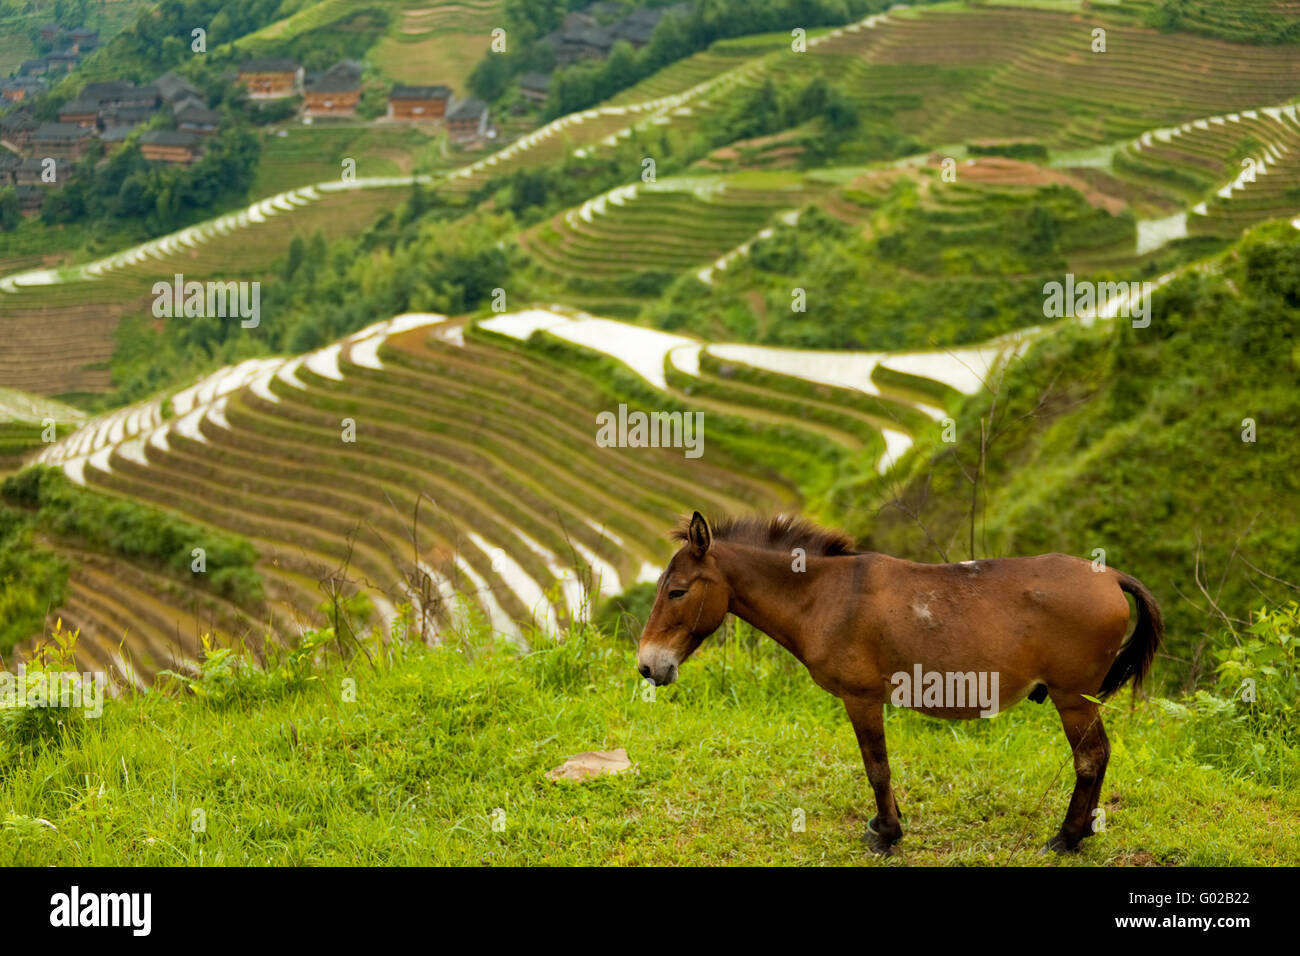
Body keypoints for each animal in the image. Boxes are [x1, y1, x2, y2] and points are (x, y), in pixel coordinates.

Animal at [634, 512, 1164, 858]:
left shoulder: (861, 698)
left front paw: (887, 833)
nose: (646, 666)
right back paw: (1084, 832)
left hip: (1072, 698)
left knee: (1090, 758)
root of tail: (1109, 576)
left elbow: (877, 768)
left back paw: (1067, 837)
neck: (824, 595)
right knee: (1100, 755)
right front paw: (892, 823)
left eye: (676, 591)